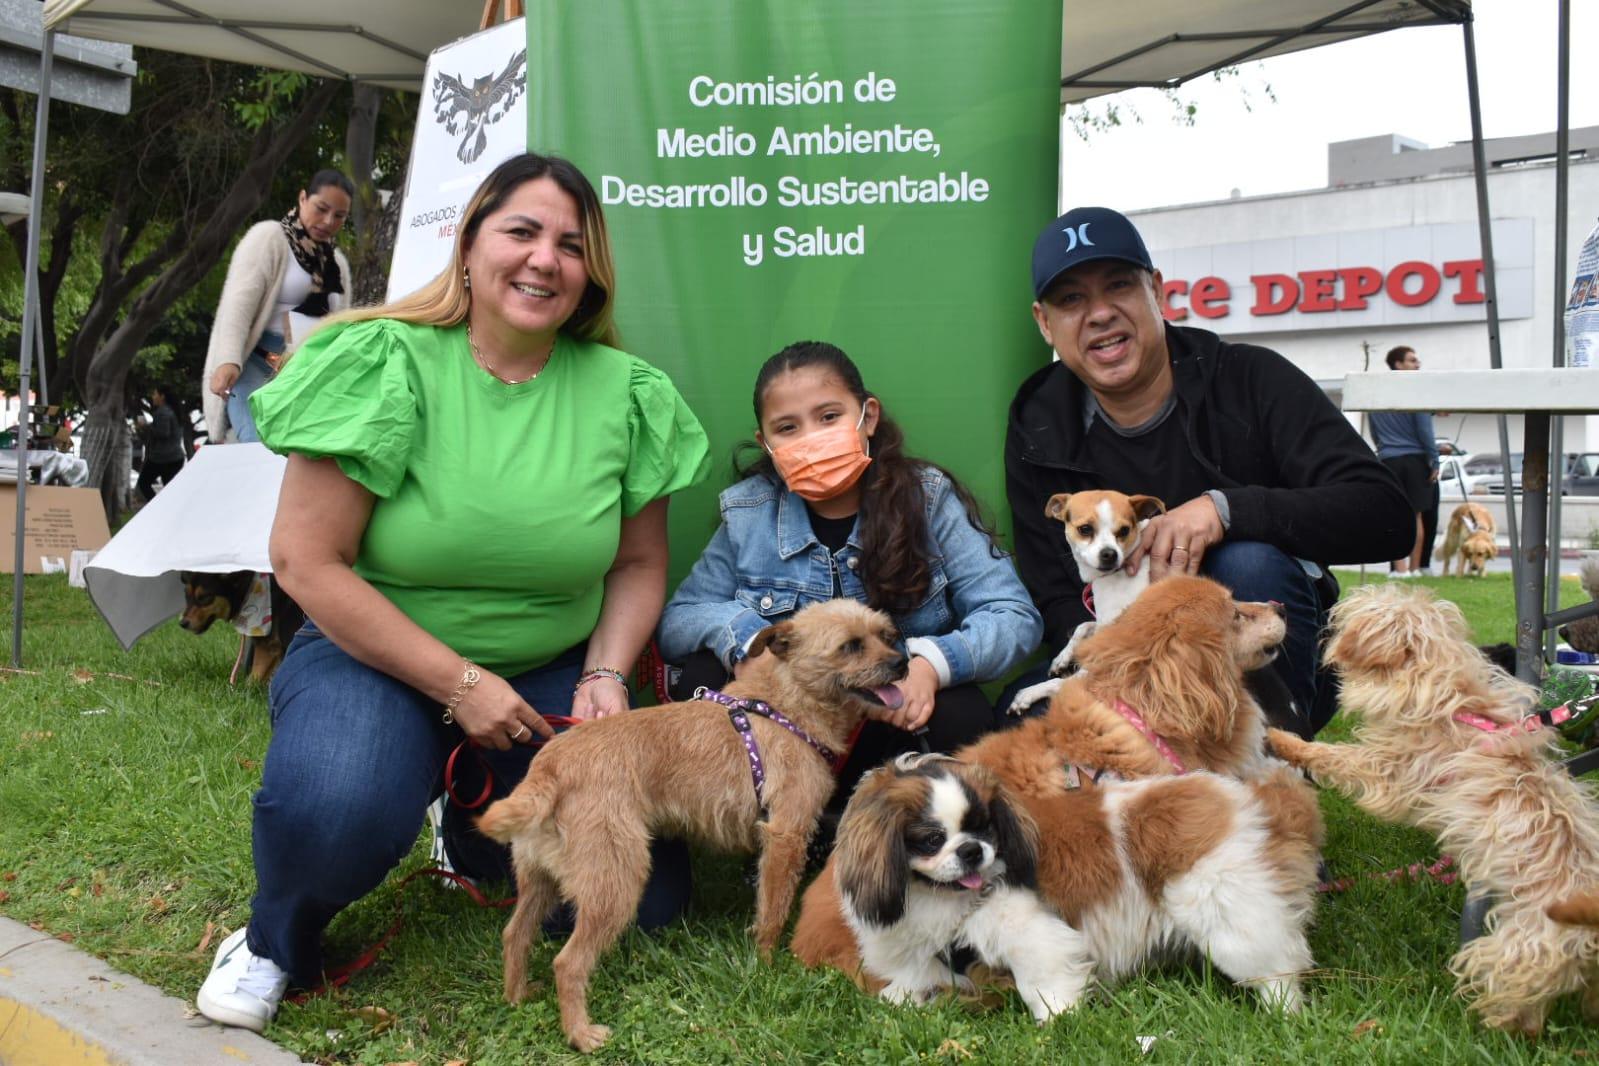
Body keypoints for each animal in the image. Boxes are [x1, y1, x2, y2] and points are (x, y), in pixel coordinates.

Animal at [473, 597, 908, 1054]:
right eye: (850, 646)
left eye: (885, 634)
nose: (902, 663)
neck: (786, 703)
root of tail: (549, 767)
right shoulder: (786, 836)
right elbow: (773, 911)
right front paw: (767, 967)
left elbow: (764, 907)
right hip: (615, 884)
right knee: (567, 962)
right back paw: (582, 1034)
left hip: (539, 880)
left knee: (515, 934)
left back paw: (518, 995)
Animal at [1010, 495, 1164, 715]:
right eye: (1085, 529)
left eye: (1124, 530)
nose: (1110, 554)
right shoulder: (1101, 623)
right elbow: (1082, 627)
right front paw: (1062, 657)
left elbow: (1061, 683)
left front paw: (1029, 693)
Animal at [1272, 578, 1599, 1035]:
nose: (1326, 626)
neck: (1451, 698)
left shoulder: (1389, 770)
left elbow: (1337, 757)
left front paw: (1284, 741)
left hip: (1517, 950)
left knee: (1521, 1004)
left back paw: (1491, 1025)